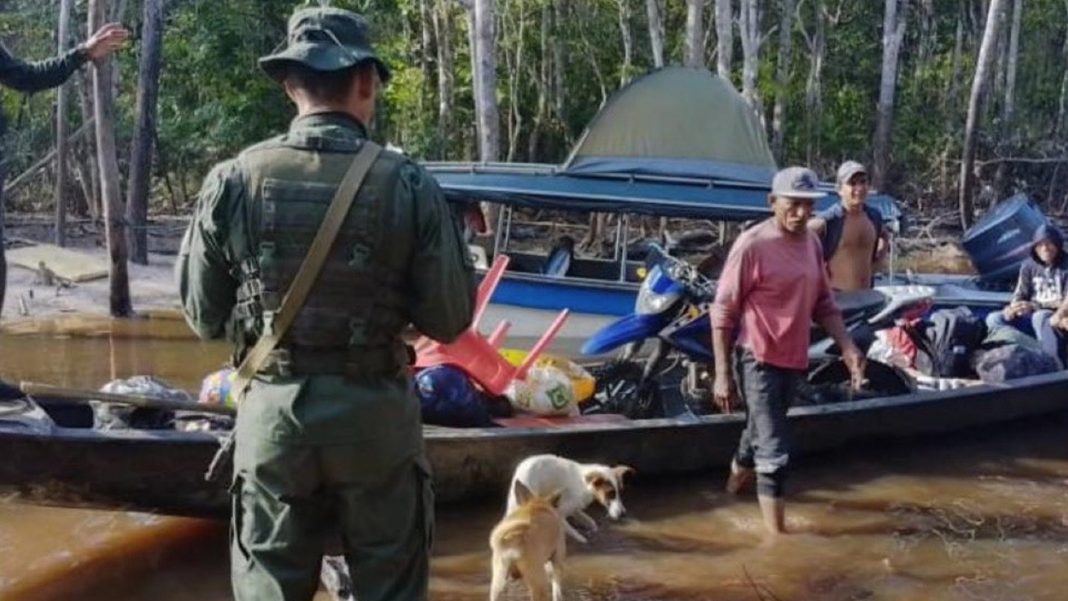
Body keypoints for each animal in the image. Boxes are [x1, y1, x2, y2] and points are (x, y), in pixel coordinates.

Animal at [501, 454, 632, 542]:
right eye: (610, 493)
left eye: (620, 492)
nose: (623, 514)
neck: (584, 484)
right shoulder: (560, 510)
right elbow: (570, 529)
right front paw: (580, 537)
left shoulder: (575, 507)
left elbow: (587, 519)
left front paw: (591, 527)